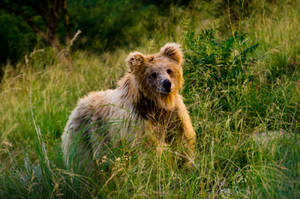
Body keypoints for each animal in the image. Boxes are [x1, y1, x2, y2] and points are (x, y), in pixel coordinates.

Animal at [61, 42, 197, 167]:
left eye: (169, 70)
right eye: (153, 74)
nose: (167, 83)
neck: (157, 104)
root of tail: (77, 104)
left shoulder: (174, 116)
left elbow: (182, 139)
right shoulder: (137, 121)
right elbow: (148, 147)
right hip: (86, 136)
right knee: (84, 161)